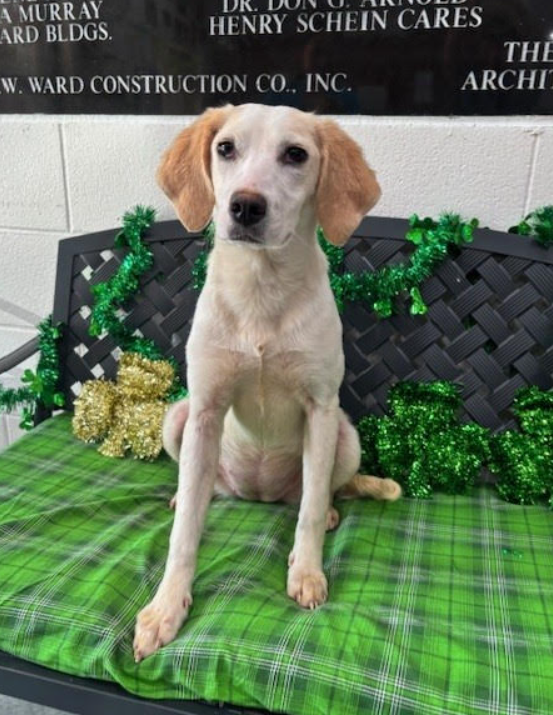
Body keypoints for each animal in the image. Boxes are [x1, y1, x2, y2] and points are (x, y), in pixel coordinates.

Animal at [133, 103, 401, 662]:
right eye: (225, 148)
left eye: (295, 154)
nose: (245, 206)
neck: (261, 288)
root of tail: (257, 495)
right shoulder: (206, 407)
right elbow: (183, 536)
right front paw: (166, 608)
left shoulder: (321, 408)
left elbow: (310, 509)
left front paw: (307, 571)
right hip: (178, 418)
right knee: (202, 487)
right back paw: (192, 494)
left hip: (346, 436)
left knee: (315, 494)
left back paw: (326, 514)